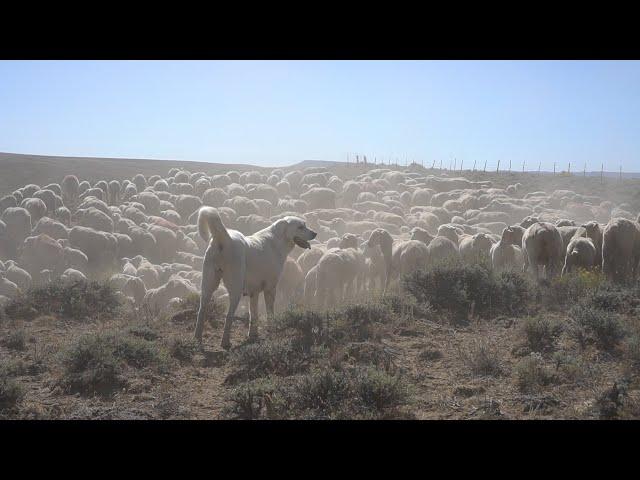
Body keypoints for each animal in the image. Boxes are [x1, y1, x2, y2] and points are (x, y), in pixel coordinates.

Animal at [194, 206, 316, 348]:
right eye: (300, 227)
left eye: (305, 225)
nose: (315, 234)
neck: (276, 241)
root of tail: (224, 238)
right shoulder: (270, 289)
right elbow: (270, 313)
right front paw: (272, 331)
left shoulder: (254, 292)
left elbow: (254, 315)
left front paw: (253, 335)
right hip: (235, 289)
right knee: (228, 316)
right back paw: (225, 342)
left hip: (208, 286)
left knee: (201, 311)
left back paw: (197, 339)